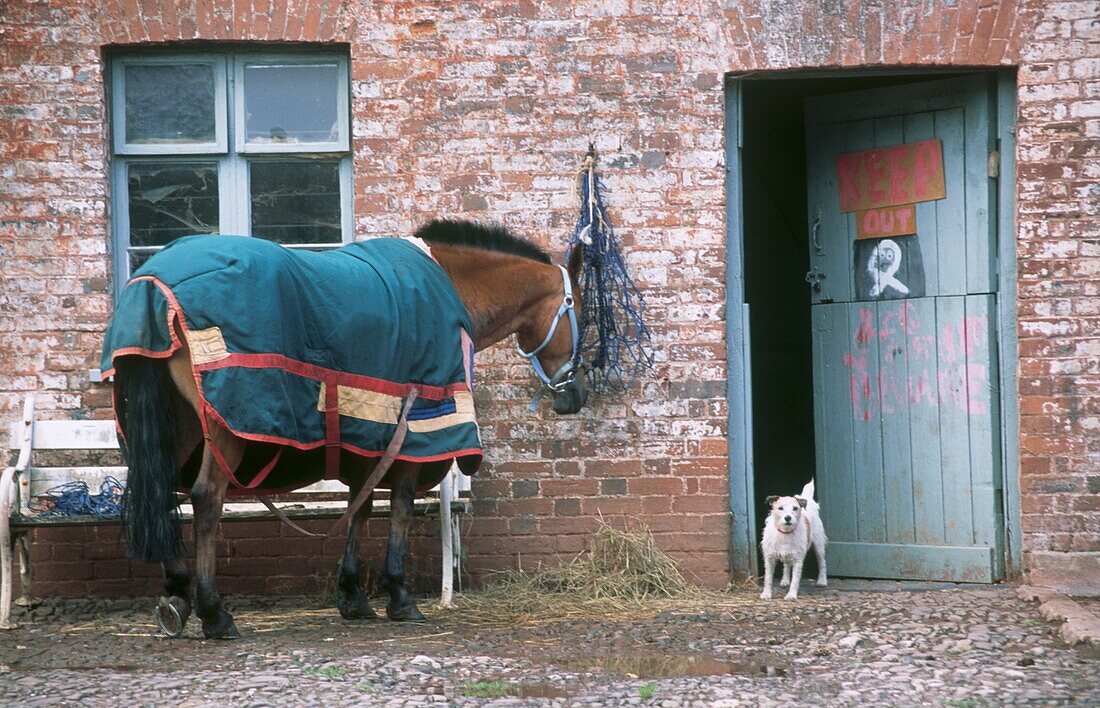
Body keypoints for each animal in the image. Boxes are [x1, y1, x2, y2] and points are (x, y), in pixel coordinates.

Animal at [102, 218, 585, 637]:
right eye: (583, 310)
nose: (575, 395)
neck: (449, 285)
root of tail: (153, 287)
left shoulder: (369, 436)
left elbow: (361, 506)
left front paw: (353, 595)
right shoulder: (411, 437)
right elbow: (400, 508)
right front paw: (399, 596)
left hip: (175, 428)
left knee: (163, 491)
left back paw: (176, 596)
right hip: (223, 429)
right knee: (205, 500)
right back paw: (214, 612)